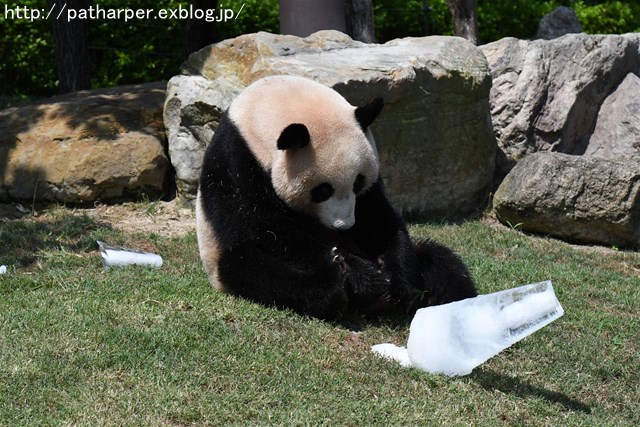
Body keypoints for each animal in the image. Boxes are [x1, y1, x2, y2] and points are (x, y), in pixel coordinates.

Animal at [198, 75, 478, 320]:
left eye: (358, 182)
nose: (344, 226)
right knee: (258, 270)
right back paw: (337, 285)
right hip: (220, 258)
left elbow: (379, 219)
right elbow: (268, 228)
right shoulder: (237, 164)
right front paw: (362, 276)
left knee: (440, 260)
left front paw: (397, 279)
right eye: (323, 190)